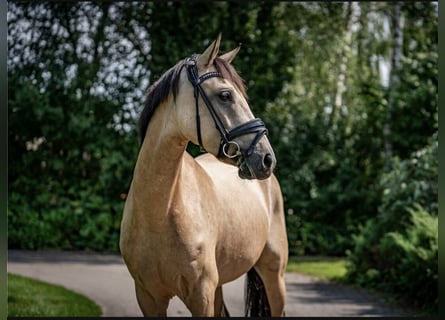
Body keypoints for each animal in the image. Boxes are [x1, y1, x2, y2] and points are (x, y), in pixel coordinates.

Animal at [119, 33, 288, 316]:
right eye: (225, 95)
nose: (267, 158)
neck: (160, 211)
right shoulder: (148, 298)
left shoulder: (201, 296)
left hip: (275, 276)